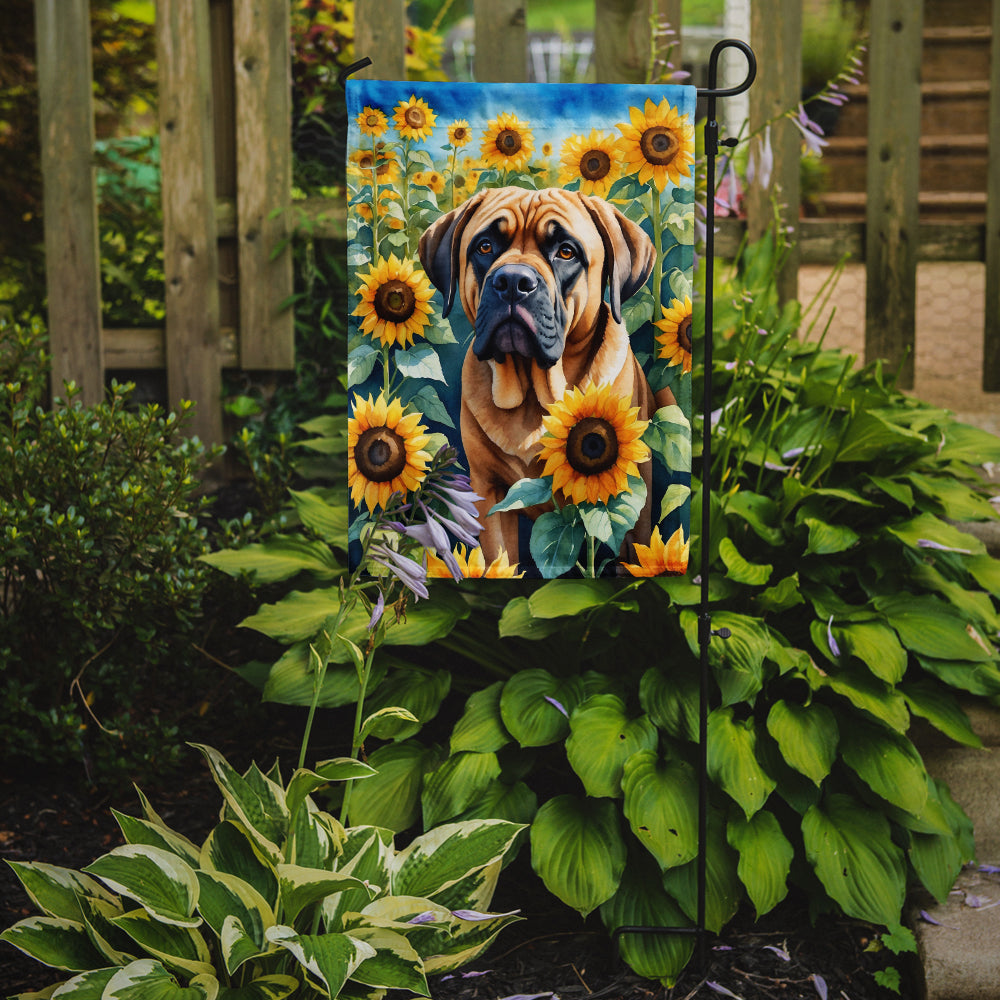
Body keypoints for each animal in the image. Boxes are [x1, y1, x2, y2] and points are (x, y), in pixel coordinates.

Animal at [418, 186, 668, 564]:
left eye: (566, 252)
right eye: (485, 246)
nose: (512, 281)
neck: (534, 397)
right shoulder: (490, 493)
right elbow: (499, 560)